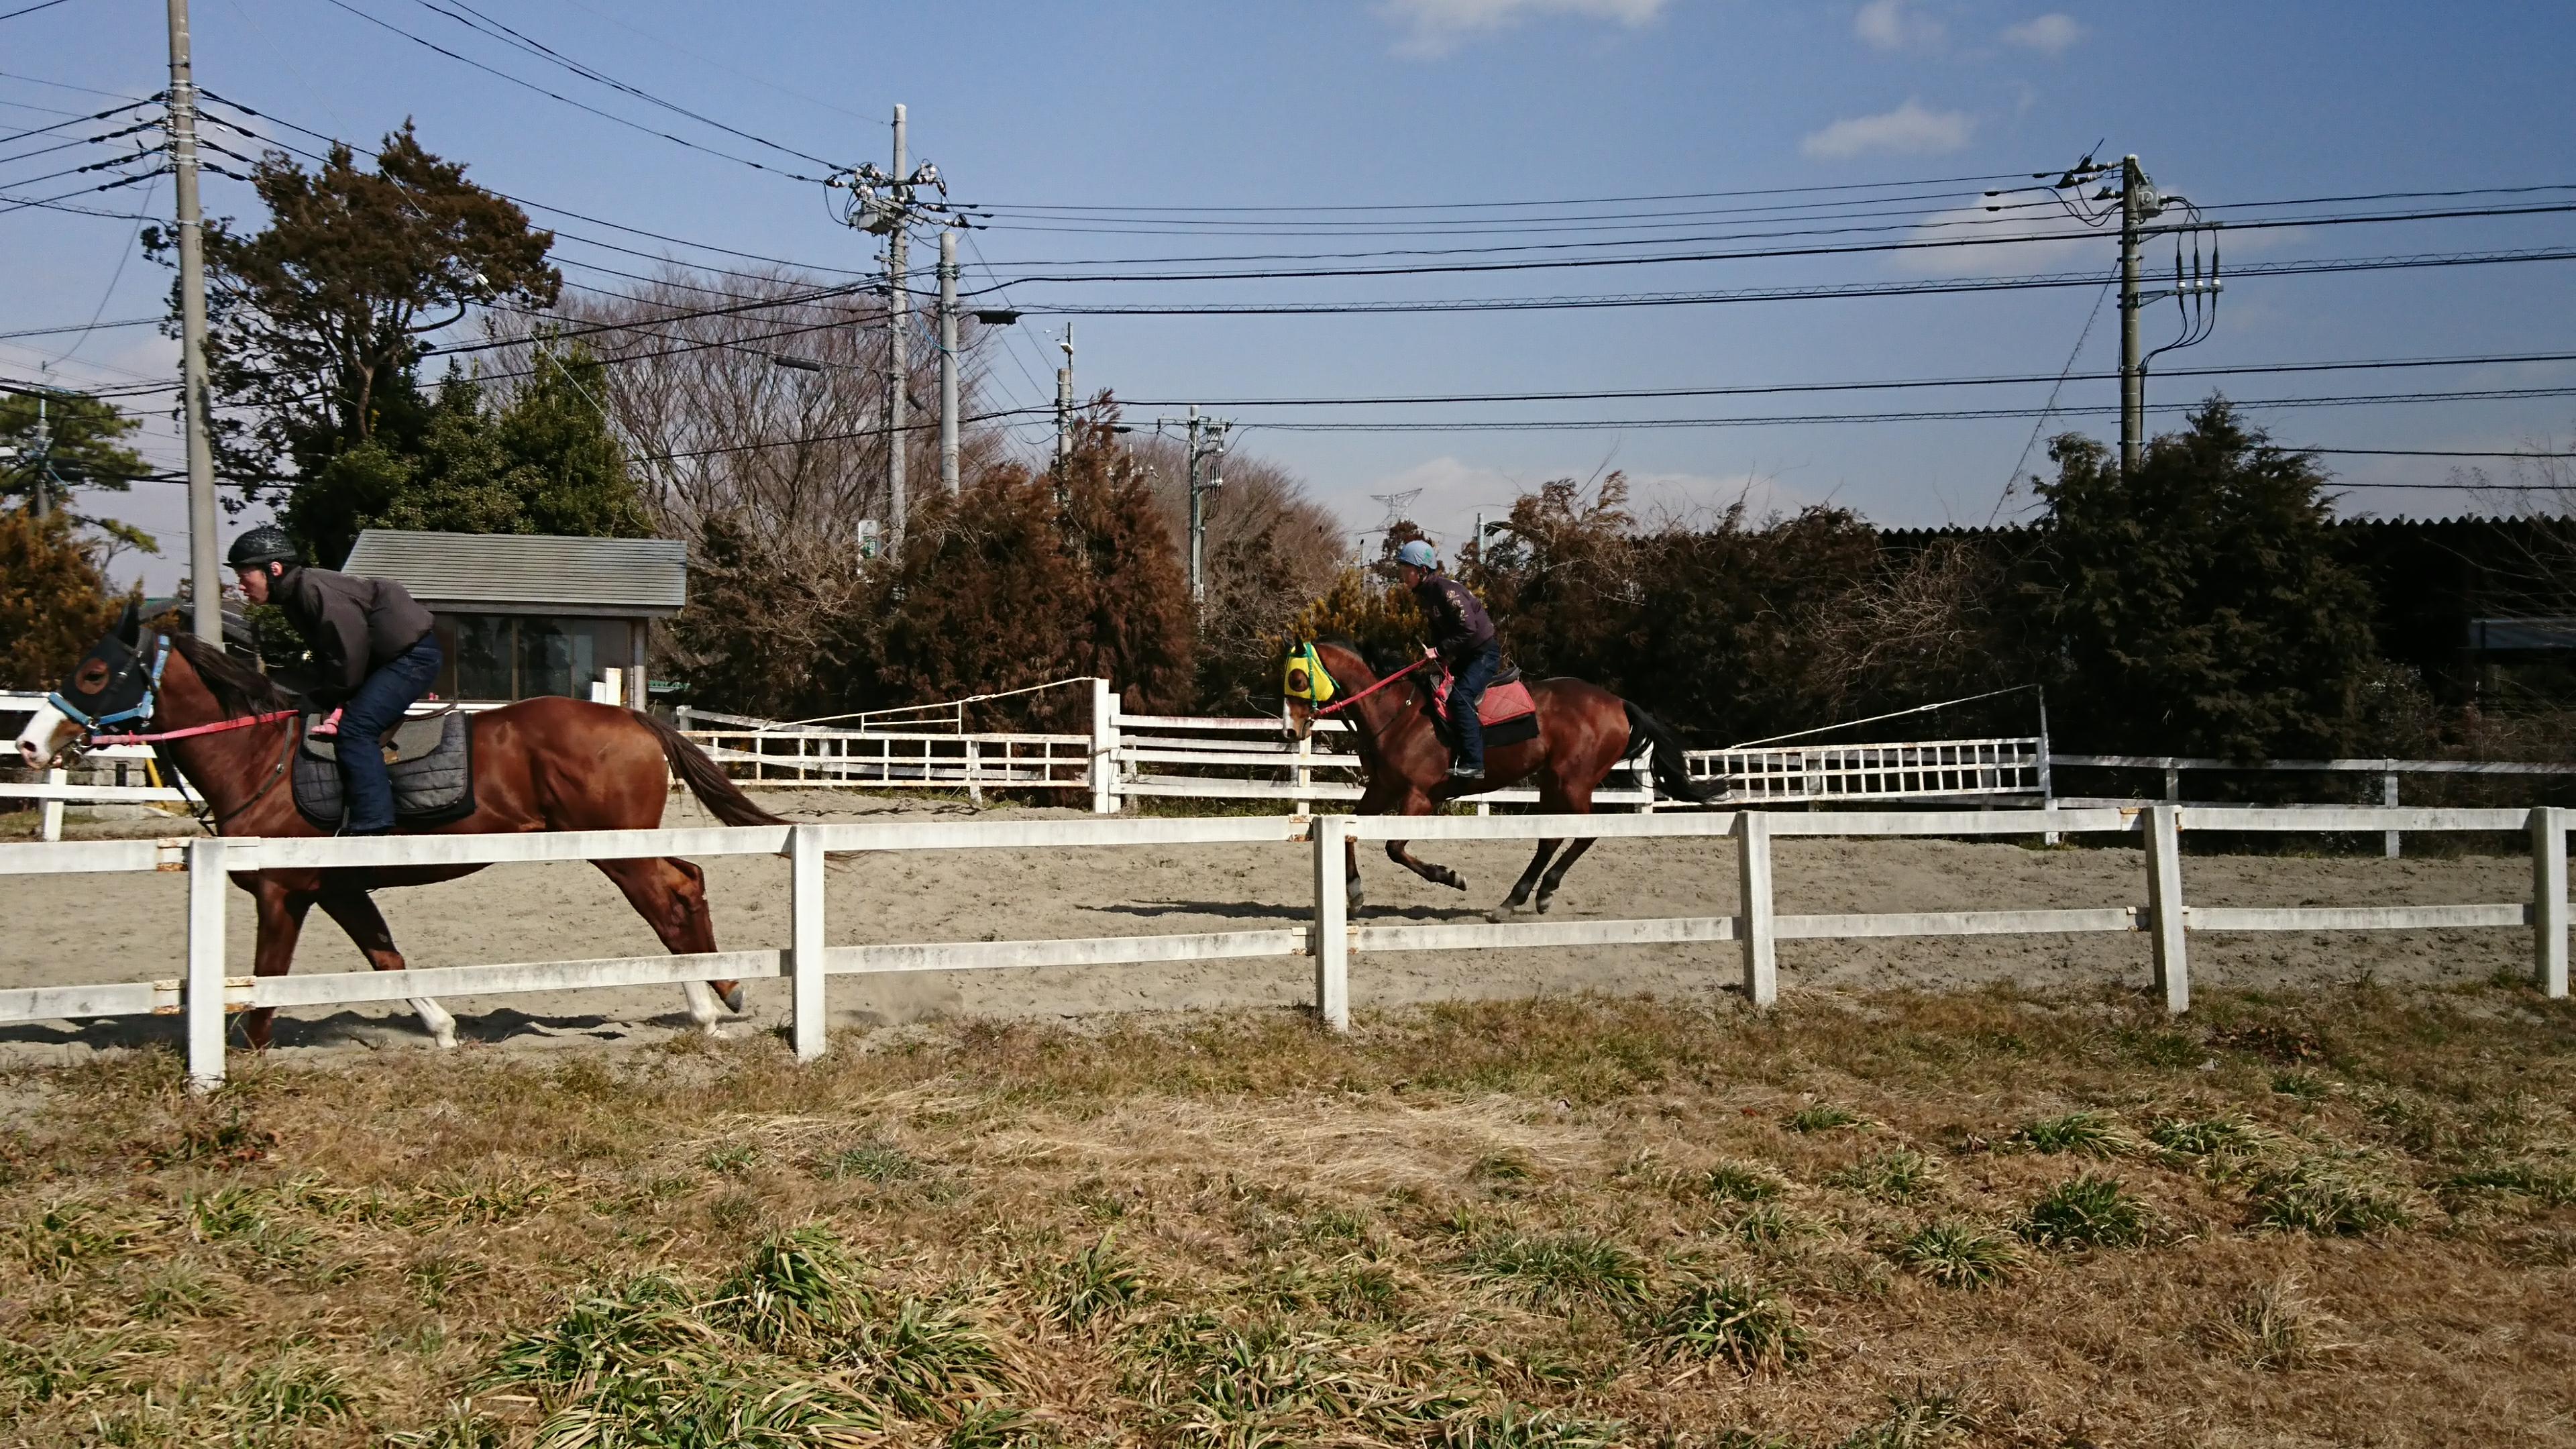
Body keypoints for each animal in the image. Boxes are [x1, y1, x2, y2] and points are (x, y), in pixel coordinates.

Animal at [17, 608, 783, 1046]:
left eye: (94, 673)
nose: (28, 743)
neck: (260, 759)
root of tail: (634, 718)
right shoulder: (336, 889)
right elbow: (386, 960)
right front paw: (442, 1030)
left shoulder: (281, 892)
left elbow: (267, 982)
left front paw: (250, 1050)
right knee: (685, 886)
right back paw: (720, 994)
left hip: (615, 850)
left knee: (668, 899)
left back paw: (712, 1004)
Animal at [1283, 642, 1721, 912]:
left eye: (1297, 679)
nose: (1290, 731)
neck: (1396, 712)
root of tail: (1618, 703)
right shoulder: (1382, 789)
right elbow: (1350, 836)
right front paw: (1355, 894)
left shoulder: (1419, 798)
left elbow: (1394, 848)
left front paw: (1451, 876)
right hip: (1552, 783)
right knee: (1550, 839)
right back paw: (1519, 898)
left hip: (1573, 782)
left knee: (1584, 832)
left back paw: (1543, 890)